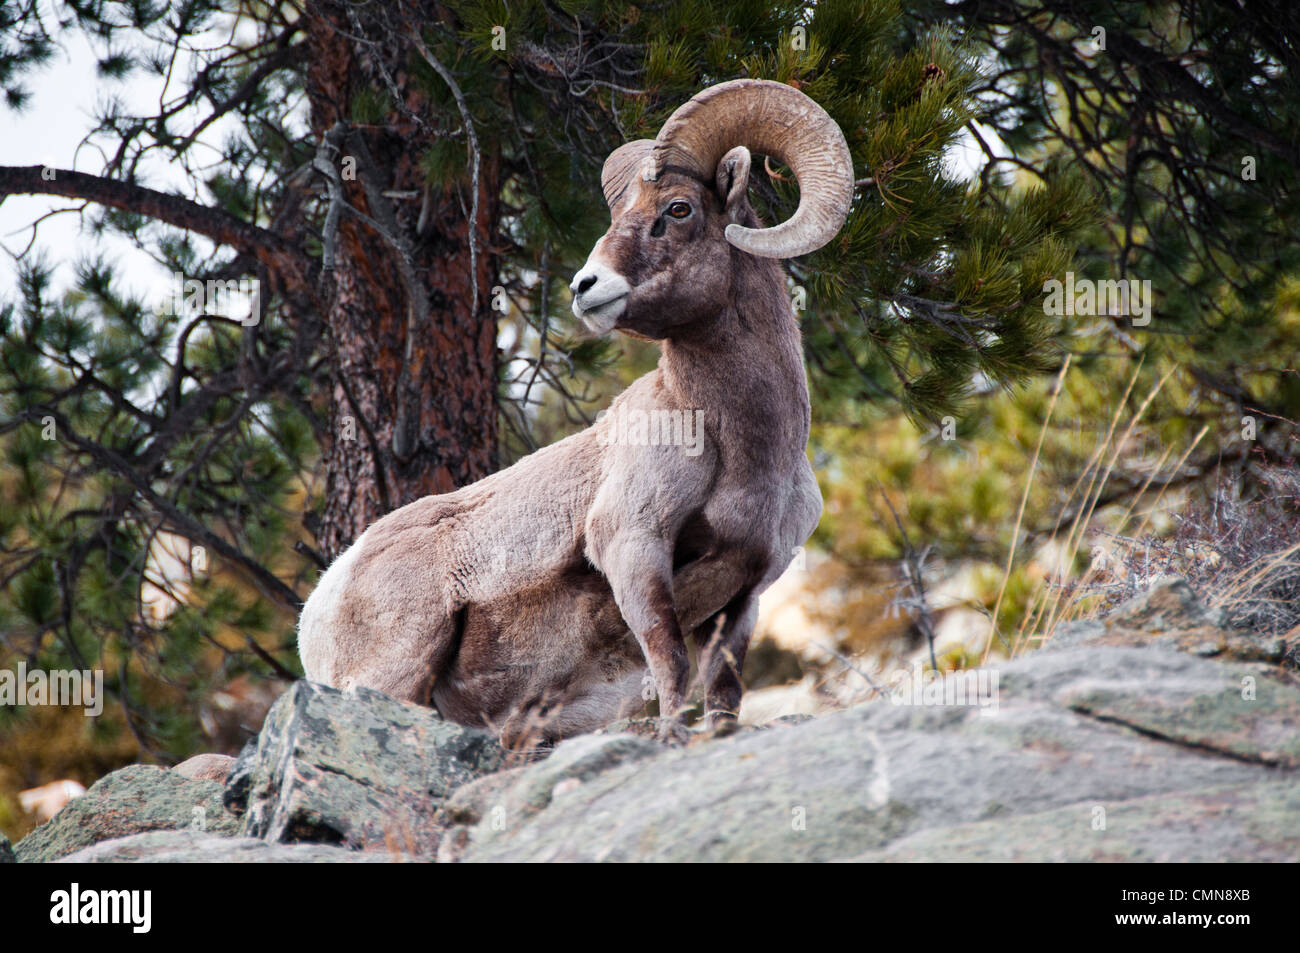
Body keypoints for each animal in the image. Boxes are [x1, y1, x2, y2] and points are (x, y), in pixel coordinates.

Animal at [298, 79, 854, 745]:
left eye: (679, 209)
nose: (585, 287)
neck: (746, 452)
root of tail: (320, 604)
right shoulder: (633, 548)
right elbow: (670, 662)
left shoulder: (744, 593)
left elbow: (723, 692)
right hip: (397, 671)